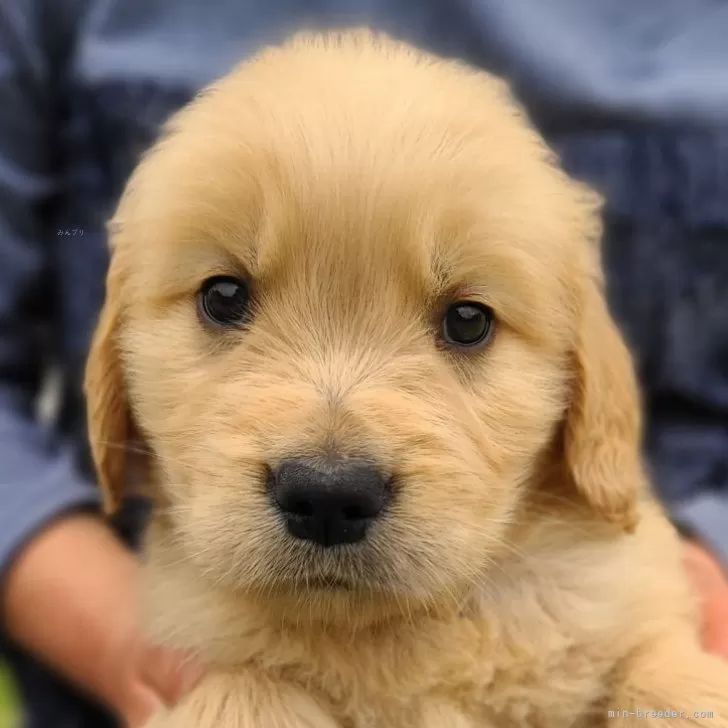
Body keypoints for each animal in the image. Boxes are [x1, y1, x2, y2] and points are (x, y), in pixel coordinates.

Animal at [84, 29, 728, 728]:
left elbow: (666, 677)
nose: (329, 495)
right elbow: (247, 692)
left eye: (469, 320)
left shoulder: (624, 609)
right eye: (223, 296)